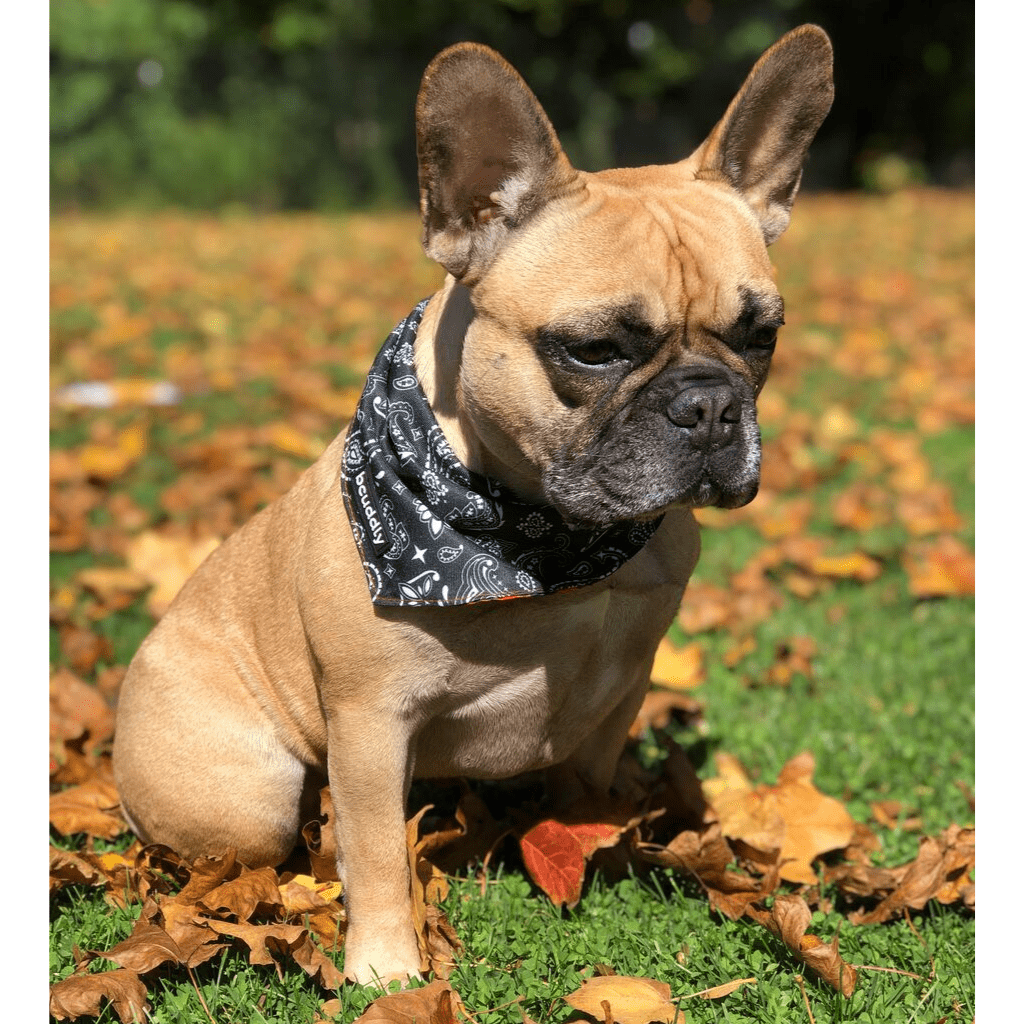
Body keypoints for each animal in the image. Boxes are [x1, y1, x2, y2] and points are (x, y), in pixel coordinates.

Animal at [112, 24, 831, 983]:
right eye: (595, 350)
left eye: (762, 337)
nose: (711, 405)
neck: (548, 539)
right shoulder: (371, 722)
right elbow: (380, 850)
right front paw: (385, 967)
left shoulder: (621, 689)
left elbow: (586, 781)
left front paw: (590, 846)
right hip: (245, 798)